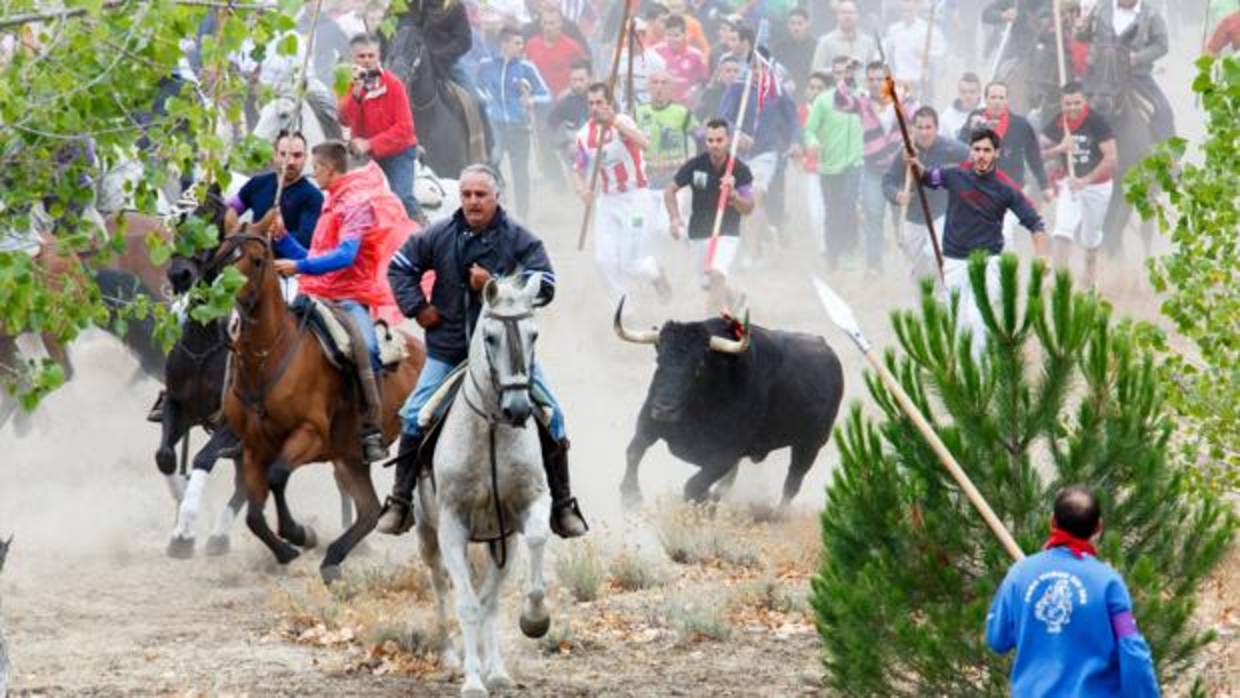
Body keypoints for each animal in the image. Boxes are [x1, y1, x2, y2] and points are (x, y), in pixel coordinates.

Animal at [213, 230, 426, 585]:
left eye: (256, 260)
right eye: (220, 256)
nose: (227, 321)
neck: (270, 357)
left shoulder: (310, 433)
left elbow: (278, 475)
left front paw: (299, 533)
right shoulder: (254, 448)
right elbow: (254, 515)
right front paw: (287, 549)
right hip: (350, 458)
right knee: (369, 511)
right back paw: (332, 559)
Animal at [416, 273, 553, 698]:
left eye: (534, 334)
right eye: (490, 337)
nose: (519, 409)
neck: (491, 428)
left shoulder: (526, 509)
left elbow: (536, 540)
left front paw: (535, 618)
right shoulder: (452, 526)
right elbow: (466, 604)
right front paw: (472, 681)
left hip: (499, 541)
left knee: (489, 599)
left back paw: (498, 671)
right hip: (427, 534)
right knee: (441, 586)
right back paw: (450, 655)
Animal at [617, 308, 848, 510]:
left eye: (699, 367)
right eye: (659, 361)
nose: (664, 410)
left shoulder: (724, 455)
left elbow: (694, 486)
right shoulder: (648, 423)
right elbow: (633, 451)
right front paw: (631, 498)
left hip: (810, 445)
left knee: (792, 484)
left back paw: (778, 515)